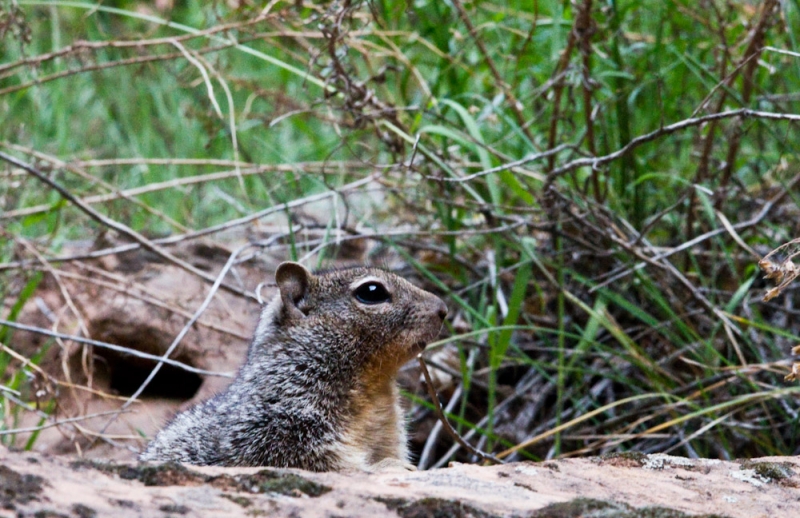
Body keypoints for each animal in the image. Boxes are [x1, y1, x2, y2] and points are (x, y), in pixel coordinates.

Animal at [141, 262, 446, 474]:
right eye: (372, 292)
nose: (443, 308)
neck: (372, 389)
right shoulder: (273, 431)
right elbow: (322, 463)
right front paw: (389, 467)